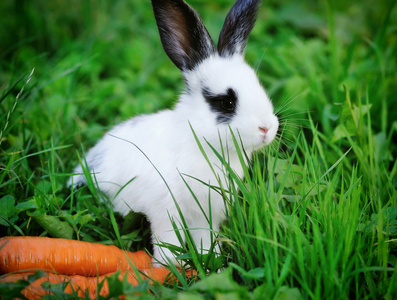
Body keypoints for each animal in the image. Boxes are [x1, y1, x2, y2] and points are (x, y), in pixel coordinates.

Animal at [68, 0, 278, 268]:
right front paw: (170, 267)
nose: (267, 127)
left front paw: (211, 262)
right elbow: (168, 241)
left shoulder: (205, 216)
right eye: (226, 102)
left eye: (259, 87)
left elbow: (205, 240)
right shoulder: (165, 212)